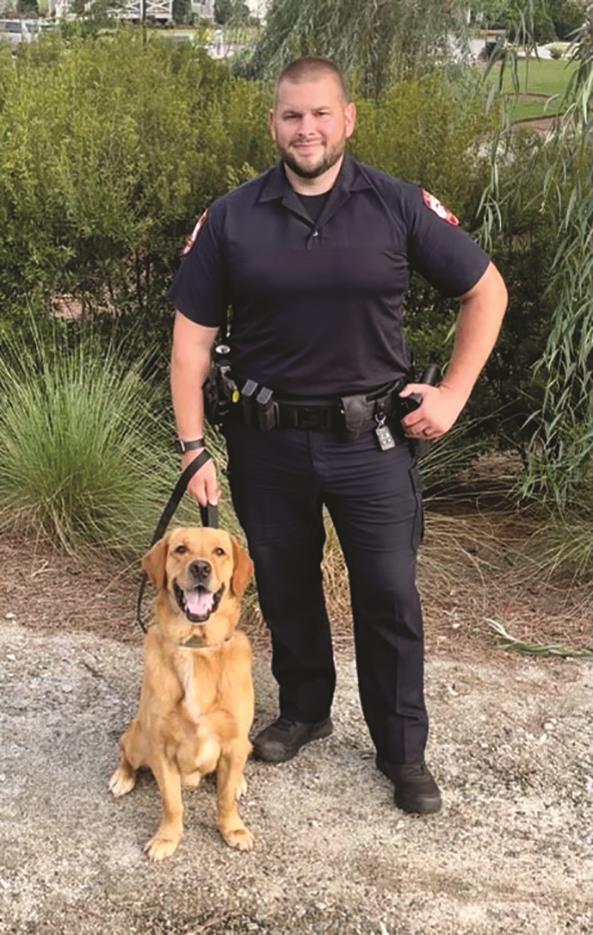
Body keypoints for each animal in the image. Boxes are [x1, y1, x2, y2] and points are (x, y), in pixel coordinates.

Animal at [108, 528, 254, 864]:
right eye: (180, 549)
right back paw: (122, 777)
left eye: (219, 552)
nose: (200, 568)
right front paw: (167, 838)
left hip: (243, 745)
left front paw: (233, 829)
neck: (196, 647)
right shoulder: (161, 749)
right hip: (139, 738)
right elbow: (172, 803)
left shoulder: (233, 741)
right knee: (125, 750)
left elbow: (225, 799)